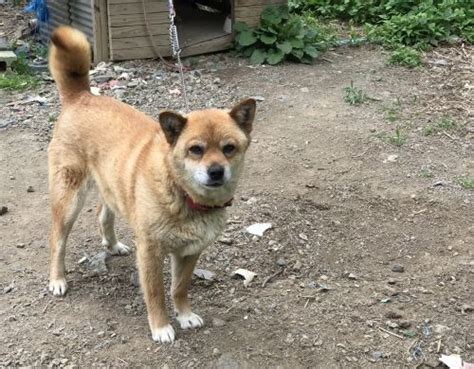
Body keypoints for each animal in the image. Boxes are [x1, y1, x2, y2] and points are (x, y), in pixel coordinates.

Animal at [48, 25, 256, 342]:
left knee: (102, 214)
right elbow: (156, 292)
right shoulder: (150, 251)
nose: (216, 172)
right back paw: (57, 279)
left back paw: (112, 244)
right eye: (196, 149)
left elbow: (179, 287)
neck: (182, 194)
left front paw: (184, 315)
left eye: (229, 148)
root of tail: (81, 95)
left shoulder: (190, 251)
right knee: (57, 242)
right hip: (69, 200)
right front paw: (161, 327)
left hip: (111, 185)